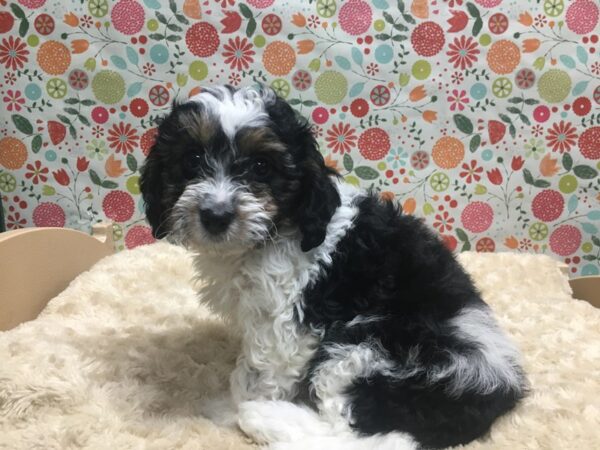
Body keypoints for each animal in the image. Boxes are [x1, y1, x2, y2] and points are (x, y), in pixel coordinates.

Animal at [139, 85, 524, 450]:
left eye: (262, 166)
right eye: (192, 159)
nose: (215, 216)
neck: (279, 229)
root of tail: (498, 392)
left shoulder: (286, 321)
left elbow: (261, 371)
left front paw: (232, 407)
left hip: (368, 350)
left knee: (361, 435)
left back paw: (264, 418)